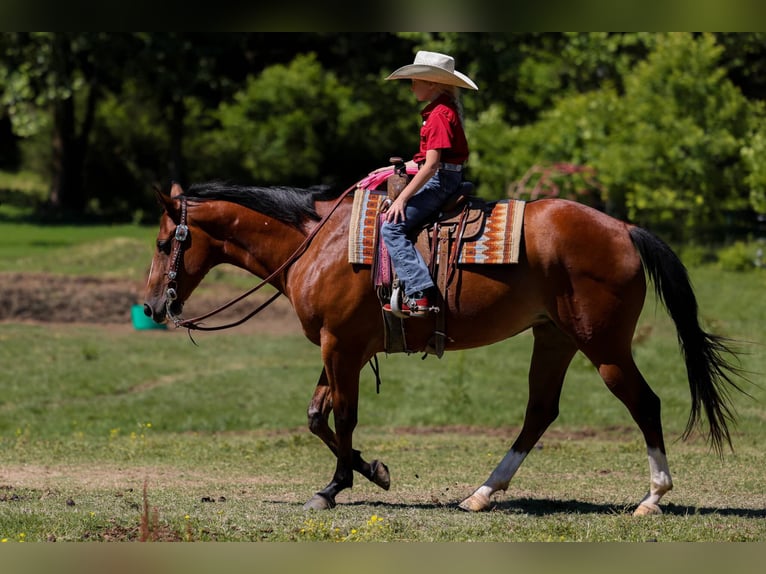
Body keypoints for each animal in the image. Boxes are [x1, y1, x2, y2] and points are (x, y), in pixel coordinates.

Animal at [143, 179, 745, 515]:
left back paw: (652, 497)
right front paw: (365, 474)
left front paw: (341, 483)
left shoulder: (341, 347)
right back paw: (481, 493)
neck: (319, 243)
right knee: (540, 411)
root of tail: (623, 228)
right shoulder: (343, 347)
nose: (150, 305)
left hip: (604, 345)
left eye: (163, 242)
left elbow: (342, 419)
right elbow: (318, 416)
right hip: (554, 338)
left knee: (644, 403)